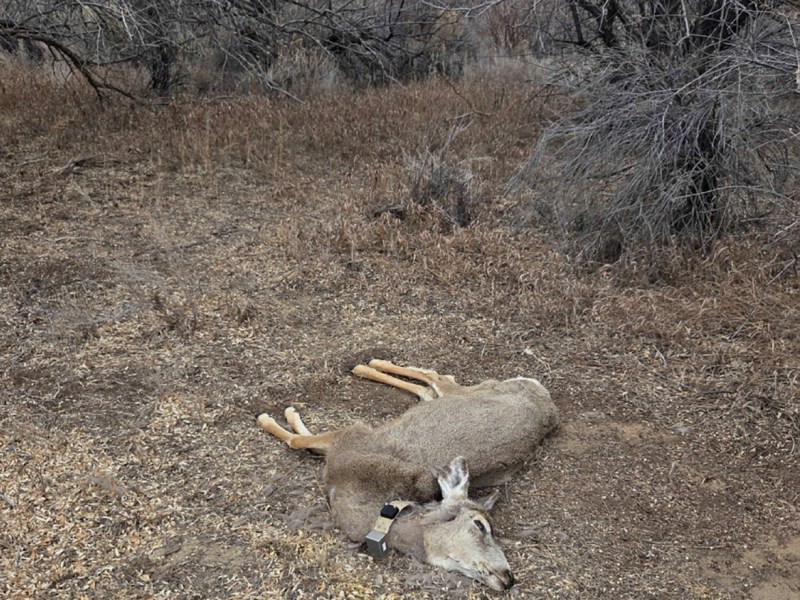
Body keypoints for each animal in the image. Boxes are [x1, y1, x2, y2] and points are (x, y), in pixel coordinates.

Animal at [257, 359, 558, 591]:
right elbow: (301, 440)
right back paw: (366, 364)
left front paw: (279, 417)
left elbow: (302, 441)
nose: (508, 577)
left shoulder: (352, 440)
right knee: (436, 378)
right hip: (467, 391)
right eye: (480, 525)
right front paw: (273, 417)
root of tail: (546, 397)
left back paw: (366, 365)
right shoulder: (355, 436)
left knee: (432, 384)